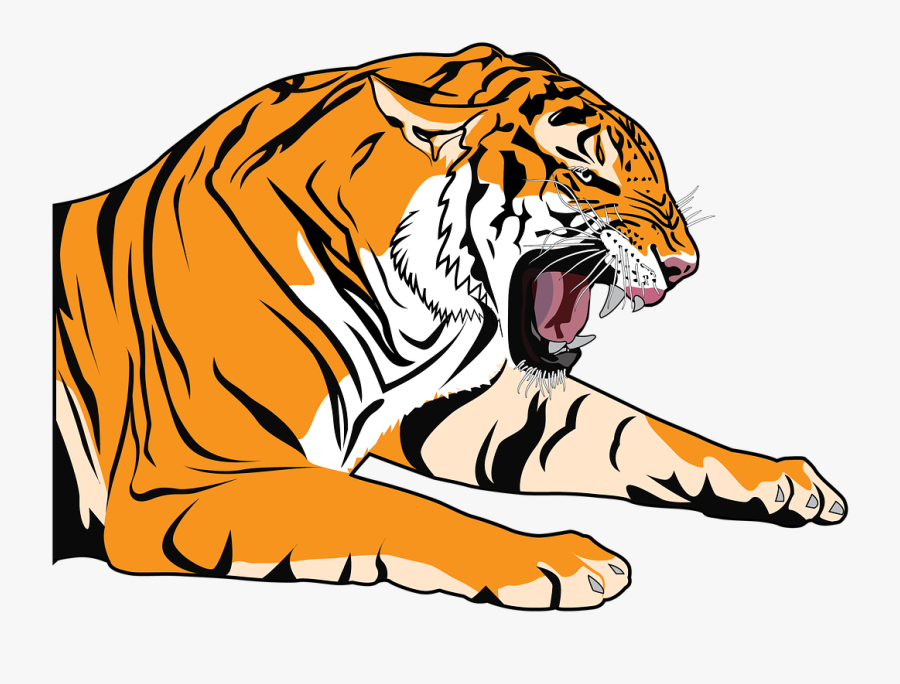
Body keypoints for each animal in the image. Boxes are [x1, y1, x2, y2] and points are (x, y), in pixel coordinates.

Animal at [53, 44, 847, 610]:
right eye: (591, 175)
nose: (686, 266)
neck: (419, 314)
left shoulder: (455, 403)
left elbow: (633, 429)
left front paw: (783, 478)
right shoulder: (193, 473)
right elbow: (390, 505)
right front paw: (560, 558)